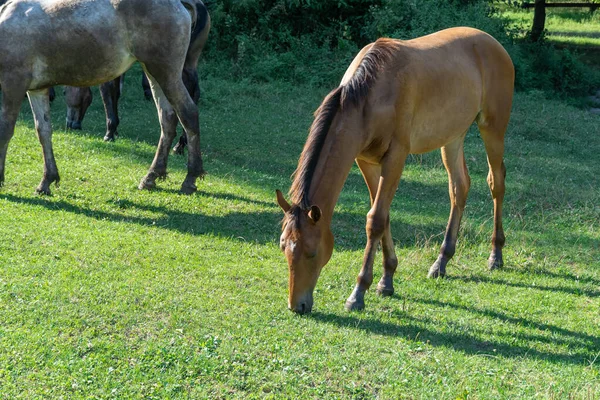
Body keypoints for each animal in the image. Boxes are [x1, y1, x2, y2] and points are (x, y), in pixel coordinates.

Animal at [0, 0, 206, 195]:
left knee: (188, 114)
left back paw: (190, 178)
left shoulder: (13, 85)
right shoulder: (37, 89)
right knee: (167, 118)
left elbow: (6, 130)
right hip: (153, 74)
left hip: (166, 73)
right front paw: (47, 180)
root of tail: (180, 4)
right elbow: (43, 131)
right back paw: (151, 176)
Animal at [276, 28, 516, 316]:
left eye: (311, 252)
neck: (369, 97)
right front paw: (386, 280)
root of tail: (493, 43)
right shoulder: (366, 162)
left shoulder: (395, 158)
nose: (297, 305)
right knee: (459, 188)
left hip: (492, 128)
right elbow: (384, 216)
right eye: (283, 247)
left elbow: (376, 220)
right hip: (452, 138)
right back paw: (441, 261)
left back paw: (496, 255)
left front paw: (358, 293)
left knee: (496, 182)